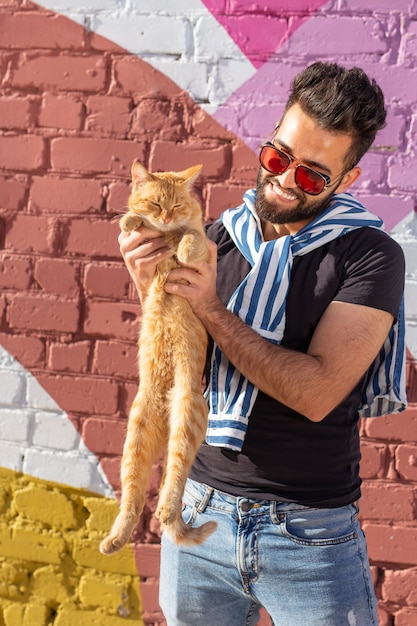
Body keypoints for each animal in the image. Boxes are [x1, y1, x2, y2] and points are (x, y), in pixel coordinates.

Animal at [99, 160, 216, 552]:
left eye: (176, 205)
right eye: (155, 204)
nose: (165, 217)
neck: (167, 235)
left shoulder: (204, 247)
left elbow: (194, 239)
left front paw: (184, 247)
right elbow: (134, 222)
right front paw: (132, 222)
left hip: (187, 413)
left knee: (174, 478)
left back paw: (166, 510)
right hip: (135, 436)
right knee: (133, 498)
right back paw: (114, 539)